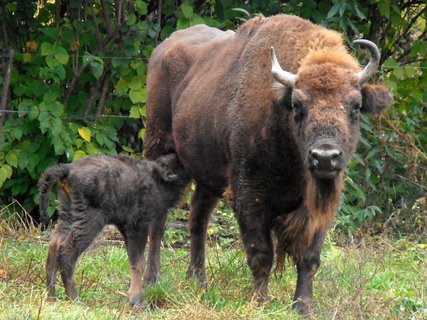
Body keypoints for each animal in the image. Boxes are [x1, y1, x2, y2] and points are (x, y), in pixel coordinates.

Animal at [37, 154, 188, 306]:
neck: (157, 178)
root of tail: (68, 169)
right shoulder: (138, 226)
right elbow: (139, 262)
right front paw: (136, 300)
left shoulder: (128, 227)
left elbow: (137, 258)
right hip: (91, 220)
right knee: (66, 251)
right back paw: (75, 299)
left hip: (68, 214)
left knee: (53, 246)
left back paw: (52, 298)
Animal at [143, 14, 392, 312]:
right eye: (297, 105)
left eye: (355, 106)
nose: (324, 156)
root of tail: (162, 48)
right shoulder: (249, 198)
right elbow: (261, 254)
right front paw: (260, 301)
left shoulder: (319, 206)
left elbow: (309, 256)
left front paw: (303, 306)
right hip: (160, 149)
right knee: (158, 219)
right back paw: (152, 281)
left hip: (208, 175)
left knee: (198, 219)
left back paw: (199, 281)